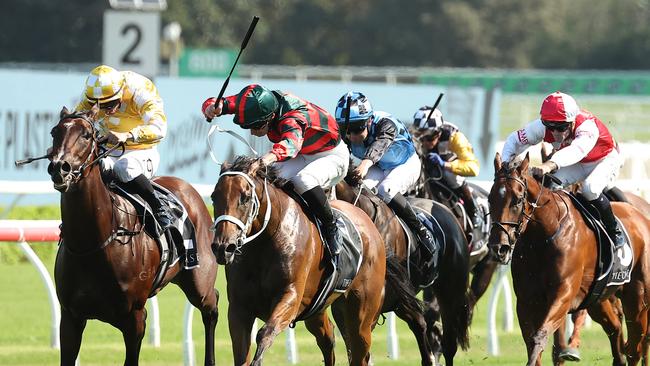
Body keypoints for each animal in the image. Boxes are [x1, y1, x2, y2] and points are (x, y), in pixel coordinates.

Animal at [48, 106, 219, 366]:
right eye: (54, 132)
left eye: (86, 135)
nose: (60, 167)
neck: (93, 243)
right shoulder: (70, 317)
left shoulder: (135, 317)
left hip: (200, 281)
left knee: (212, 308)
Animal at [210, 156, 388, 366]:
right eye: (213, 197)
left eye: (245, 197)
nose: (223, 247)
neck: (265, 242)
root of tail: (369, 224)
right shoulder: (239, 308)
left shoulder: (291, 296)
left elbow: (265, 333)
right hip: (317, 309)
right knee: (328, 337)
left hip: (361, 313)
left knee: (359, 348)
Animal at [486, 153, 648, 364]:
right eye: (490, 199)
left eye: (517, 199)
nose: (499, 247)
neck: (542, 236)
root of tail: (642, 217)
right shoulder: (526, 301)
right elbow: (531, 342)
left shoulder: (563, 295)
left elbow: (540, 335)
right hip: (598, 299)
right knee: (616, 328)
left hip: (637, 299)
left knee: (635, 347)